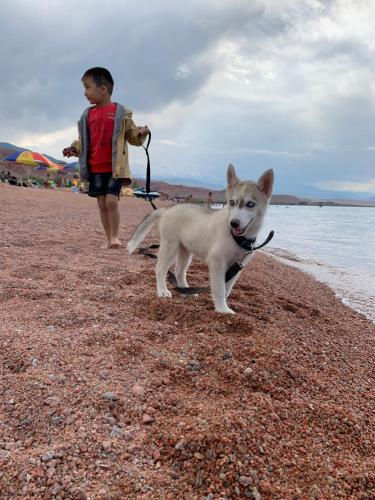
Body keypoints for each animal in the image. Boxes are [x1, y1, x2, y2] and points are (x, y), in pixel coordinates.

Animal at [128, 164, 274, 312]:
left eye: (250, 204)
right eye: (231, 202)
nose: (234, 223)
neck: (237, 238)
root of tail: (168, 209)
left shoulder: (237, 266)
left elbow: (227, 289)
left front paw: (223, 306)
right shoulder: (217, 261)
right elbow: (220, 289)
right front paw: (222, 310)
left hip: (185, 251)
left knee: (179, 272)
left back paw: (186, 291)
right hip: (170, 247)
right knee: (160, 269)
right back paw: (162, 290)